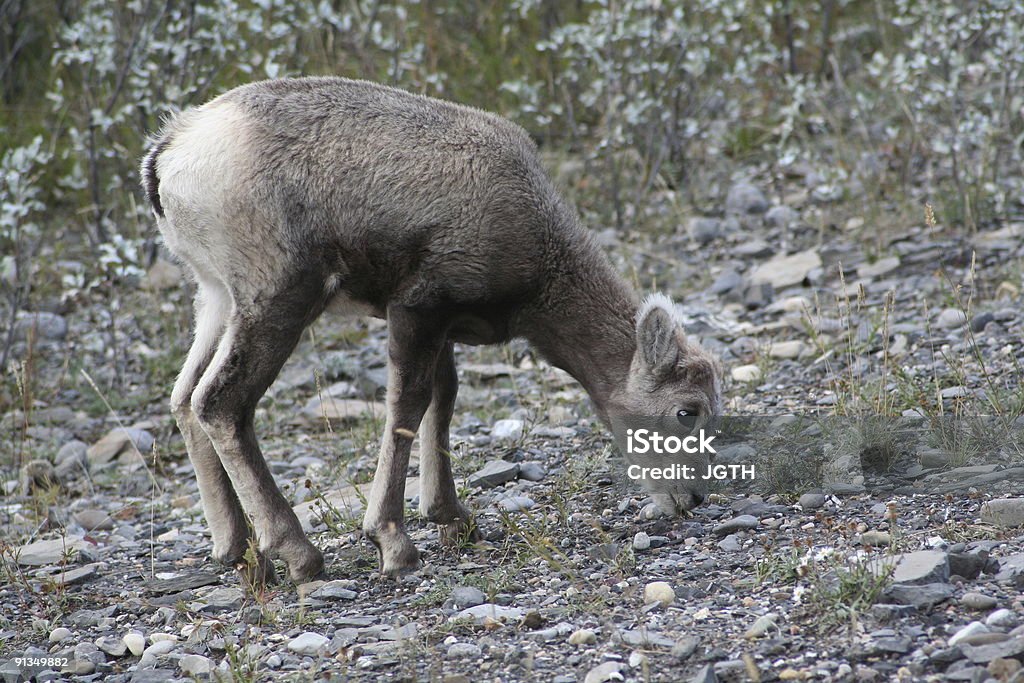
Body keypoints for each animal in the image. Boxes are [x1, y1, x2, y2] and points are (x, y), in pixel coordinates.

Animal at [140, 78, 724, 581]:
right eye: (686, 411)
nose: (691, 499)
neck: (542, 260)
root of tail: (168, 155)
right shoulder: (418, 308)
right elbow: (409, 405)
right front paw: (393, 542)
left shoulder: (441, 324)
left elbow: (442, 400)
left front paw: (452, 518)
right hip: (277, 298)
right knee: (220, 402)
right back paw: (298, 554)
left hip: (216, 299)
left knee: (184, 397)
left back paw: (239, 552)